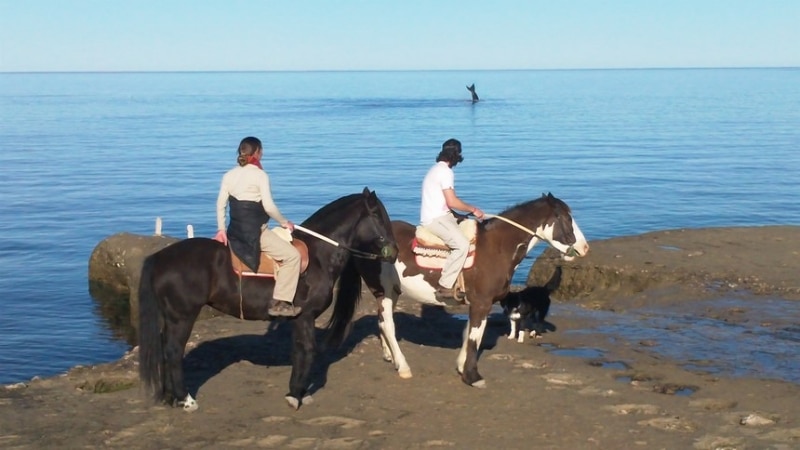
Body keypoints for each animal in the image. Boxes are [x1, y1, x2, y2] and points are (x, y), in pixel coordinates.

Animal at [141, 187, 400, 412]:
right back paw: (185, 400)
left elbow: (299, 351)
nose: (394, 251)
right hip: (182, 317)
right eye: (376, 214)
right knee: (174, 352)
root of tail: (160, 257)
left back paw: (170, 397)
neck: (317, 256)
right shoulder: (305, 316)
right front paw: (295, 395)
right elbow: (308, 351)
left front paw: (300, 392)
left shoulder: (298, 319)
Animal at [356, 192, 588, 386]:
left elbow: (467, 334)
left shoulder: (477, 303)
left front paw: (461, 367)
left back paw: (389, 356)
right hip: (384, 291)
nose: (584, 248)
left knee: (382, 322)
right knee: (388, 325)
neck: (495, 248)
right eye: (565, 218)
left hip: (392, 291)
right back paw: (403, 366)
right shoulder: (481, 303)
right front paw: (472, 376)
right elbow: (475, 337)